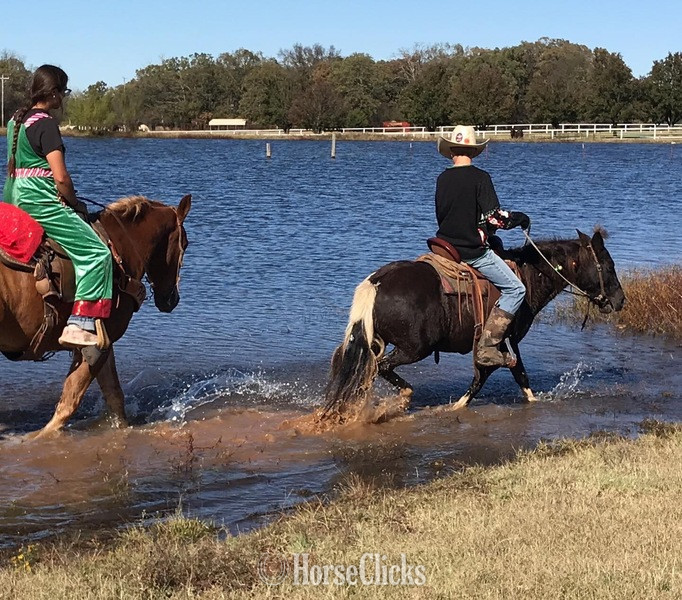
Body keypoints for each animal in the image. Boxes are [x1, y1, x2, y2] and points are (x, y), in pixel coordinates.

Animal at [0, 194, 191, 437]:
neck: (120, 252)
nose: (171, 300)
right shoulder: (95, 345)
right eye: (185, 243)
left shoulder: (104, 342)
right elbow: (70, 401)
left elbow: (114, 396)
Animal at [323, 229, 626, 417]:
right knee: (382, 367)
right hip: (415, 348)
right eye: (609, 266)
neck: (529, 276)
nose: (620, 300)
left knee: (366, 371)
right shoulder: (503, 342)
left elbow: (502, 375)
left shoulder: (501, 343)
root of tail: (376, 282)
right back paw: (403, 397)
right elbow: (505, 374)